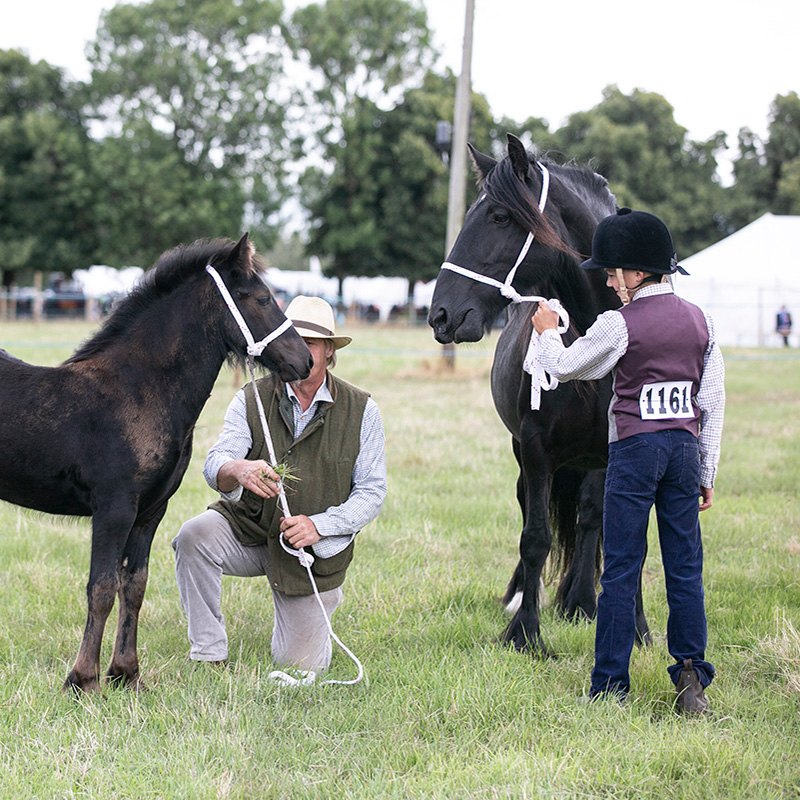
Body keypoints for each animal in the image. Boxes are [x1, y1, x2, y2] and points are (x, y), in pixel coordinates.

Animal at [0, 234, 312, 692]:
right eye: (262, 298)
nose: (304, 361)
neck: (138, 390)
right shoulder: (114, 510)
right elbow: (102, 587)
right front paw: (83, 679)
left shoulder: (149, 513)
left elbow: (134, 585)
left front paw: (126, 674)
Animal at [432, 134, 648, 652]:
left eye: (499, 217)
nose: (440, 314)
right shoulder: (534, 448)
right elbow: (535, 537)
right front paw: (525, 632)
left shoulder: (618, 451)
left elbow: (609, 525)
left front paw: (625, 622)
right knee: (529, 510)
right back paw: (520, 597)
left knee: (590, 515)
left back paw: (580, 598)